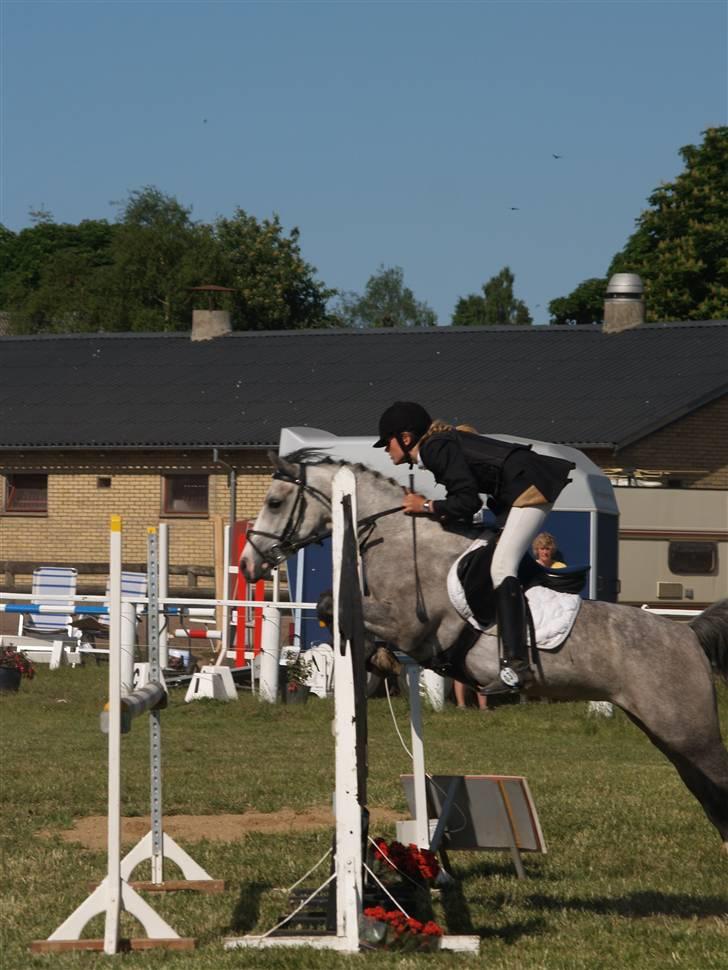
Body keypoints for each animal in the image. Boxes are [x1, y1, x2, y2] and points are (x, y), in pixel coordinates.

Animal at [242, 450, 728, 852]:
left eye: (275, 503)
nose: (248, 566)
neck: (399, 538)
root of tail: (687, 634)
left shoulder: (412, 626)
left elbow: (333, 603)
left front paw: (376, 658)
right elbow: (337, 608)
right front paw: (376, 661)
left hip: (690, 733)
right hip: (668, 735)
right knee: (708, 795)